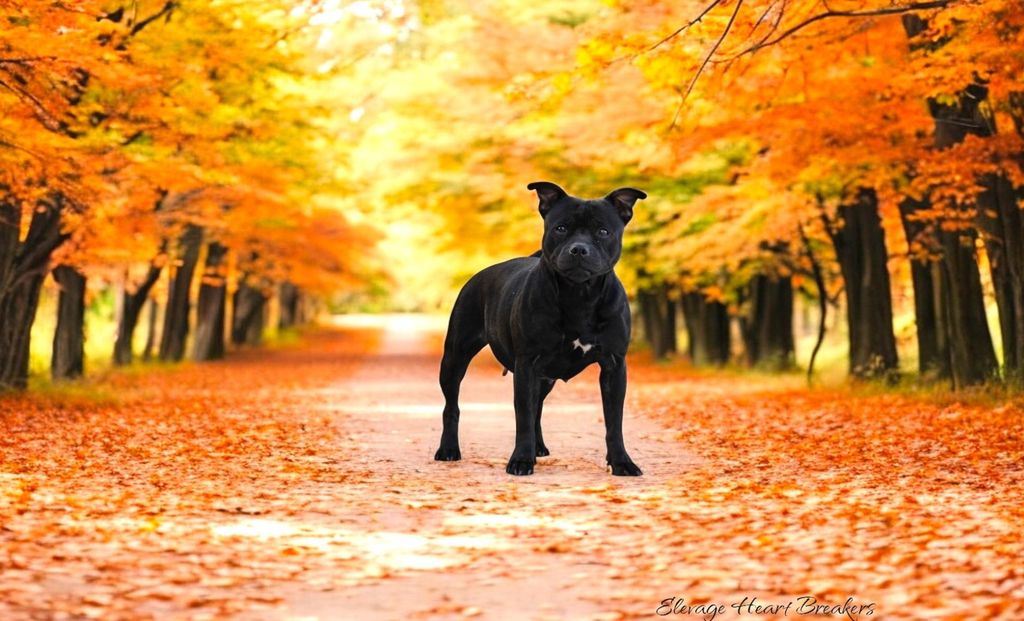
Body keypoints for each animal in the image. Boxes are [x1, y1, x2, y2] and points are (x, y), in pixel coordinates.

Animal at [434, 180, 647, 477]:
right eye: (561, 228)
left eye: (603, 231)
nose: (578, 249)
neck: (579, 295)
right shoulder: (526, 364)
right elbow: (522, 415)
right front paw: (521, 460)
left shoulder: (614, 367)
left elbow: (614, 422)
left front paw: (621, 462)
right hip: (455, 357)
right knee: (451, 406)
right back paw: (448, 449)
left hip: (545, 376)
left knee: (538, 407)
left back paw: (539, 447)